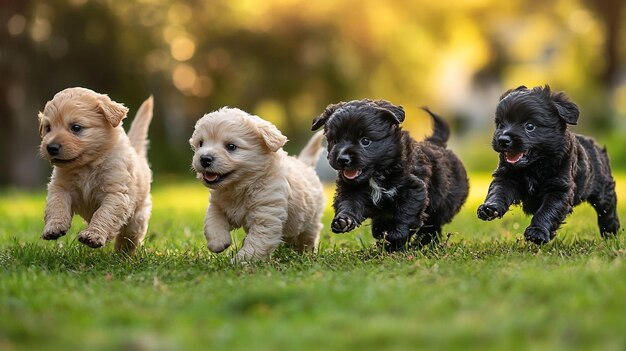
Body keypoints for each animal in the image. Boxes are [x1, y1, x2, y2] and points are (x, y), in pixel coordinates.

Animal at [38, 87, 154, 253]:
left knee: (129, 238)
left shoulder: (116, 193)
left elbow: (104, 214)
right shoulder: (60, 187)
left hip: (137, 220)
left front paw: (93, 235)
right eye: (48, 128)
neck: (88, 165)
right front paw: (54, 227)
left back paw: (122, 254)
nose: (51, 147)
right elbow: (56, 204)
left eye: (76, 128)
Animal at [188, 108, 324, 262]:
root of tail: (304, 164)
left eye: (231, 146)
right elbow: (212, 219)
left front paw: (241, 260)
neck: (242, 185)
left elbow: (257, 242)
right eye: (201, 143)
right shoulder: (217, 204)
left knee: (307, 238)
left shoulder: (267, 214)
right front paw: (218, 242)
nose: (204, 158)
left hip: (310, 222)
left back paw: (305, 254)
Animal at [310, 100, 466, 252]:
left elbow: (406, 215)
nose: (342, 159)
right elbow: (348, 204)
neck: (376, 175)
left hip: (441, 208)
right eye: (335, 141)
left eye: (365, 141)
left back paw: (422, 246)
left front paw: (394, 239)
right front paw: (343, 221)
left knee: (431, 228)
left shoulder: (414, 189)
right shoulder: (351, 190)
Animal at [478, 85, 620, 245]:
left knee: (607, 208)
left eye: (530, 126)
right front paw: (489, 208)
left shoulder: (559, 189)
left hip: (603, 189)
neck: (535, 165)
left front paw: (537, 233)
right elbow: (498, 191)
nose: (502, 139)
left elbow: (547, 211)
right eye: (500, 124)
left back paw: (610, 231)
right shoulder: (506, 177)